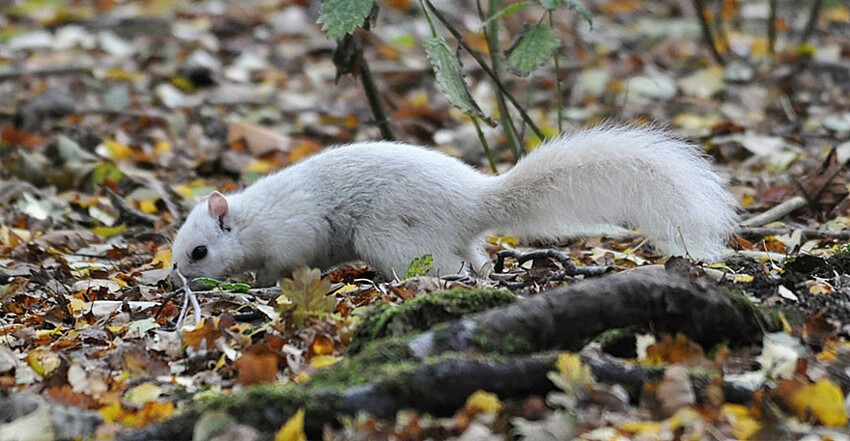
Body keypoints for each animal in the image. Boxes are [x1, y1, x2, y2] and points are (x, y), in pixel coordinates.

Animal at [171, 124, 736, 286]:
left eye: (198, 252)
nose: (177, 279)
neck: (250, 221)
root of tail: (472, 202)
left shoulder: (291, 232)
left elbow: (286, 264)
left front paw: (259, 283)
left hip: (392, 237)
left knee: (445, 267)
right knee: (474, 262)